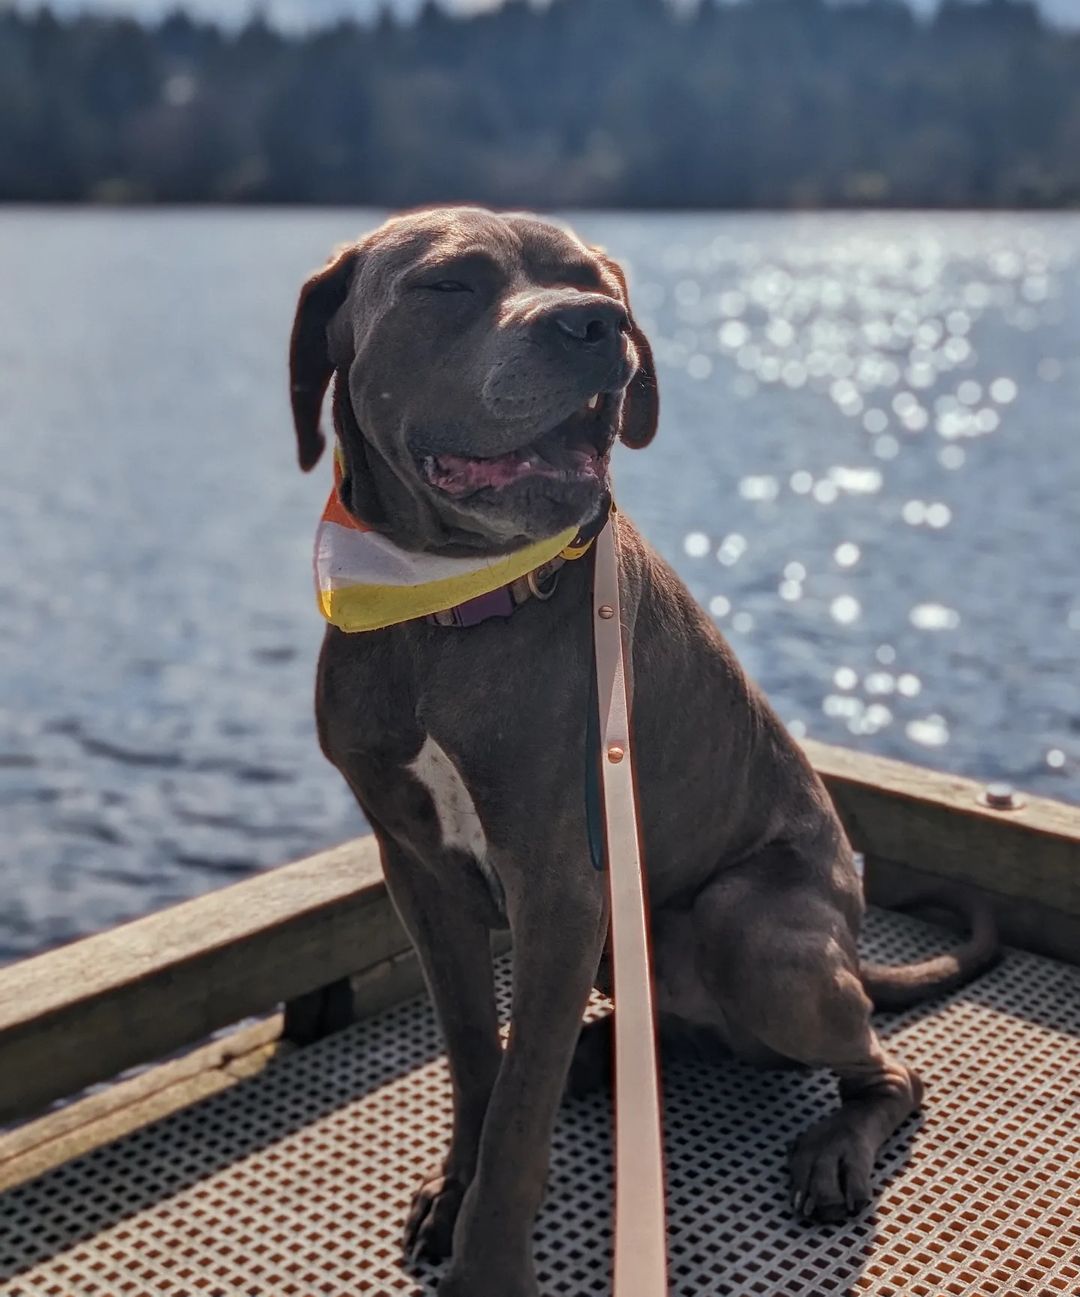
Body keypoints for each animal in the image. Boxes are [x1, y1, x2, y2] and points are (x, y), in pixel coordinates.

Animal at [289, 207, 995, 1291]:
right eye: (448, 283)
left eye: (595, 283)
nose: (594, 326)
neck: (448, 605)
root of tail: (850, 948)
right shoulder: (419, 871)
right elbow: (474, 1055)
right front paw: (454, 1190)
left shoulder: (560, 888)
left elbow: (517, 1115)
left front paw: (490, 1263)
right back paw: (601, 1052)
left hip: (756, 931)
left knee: (888, 1067)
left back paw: (832, 1149)